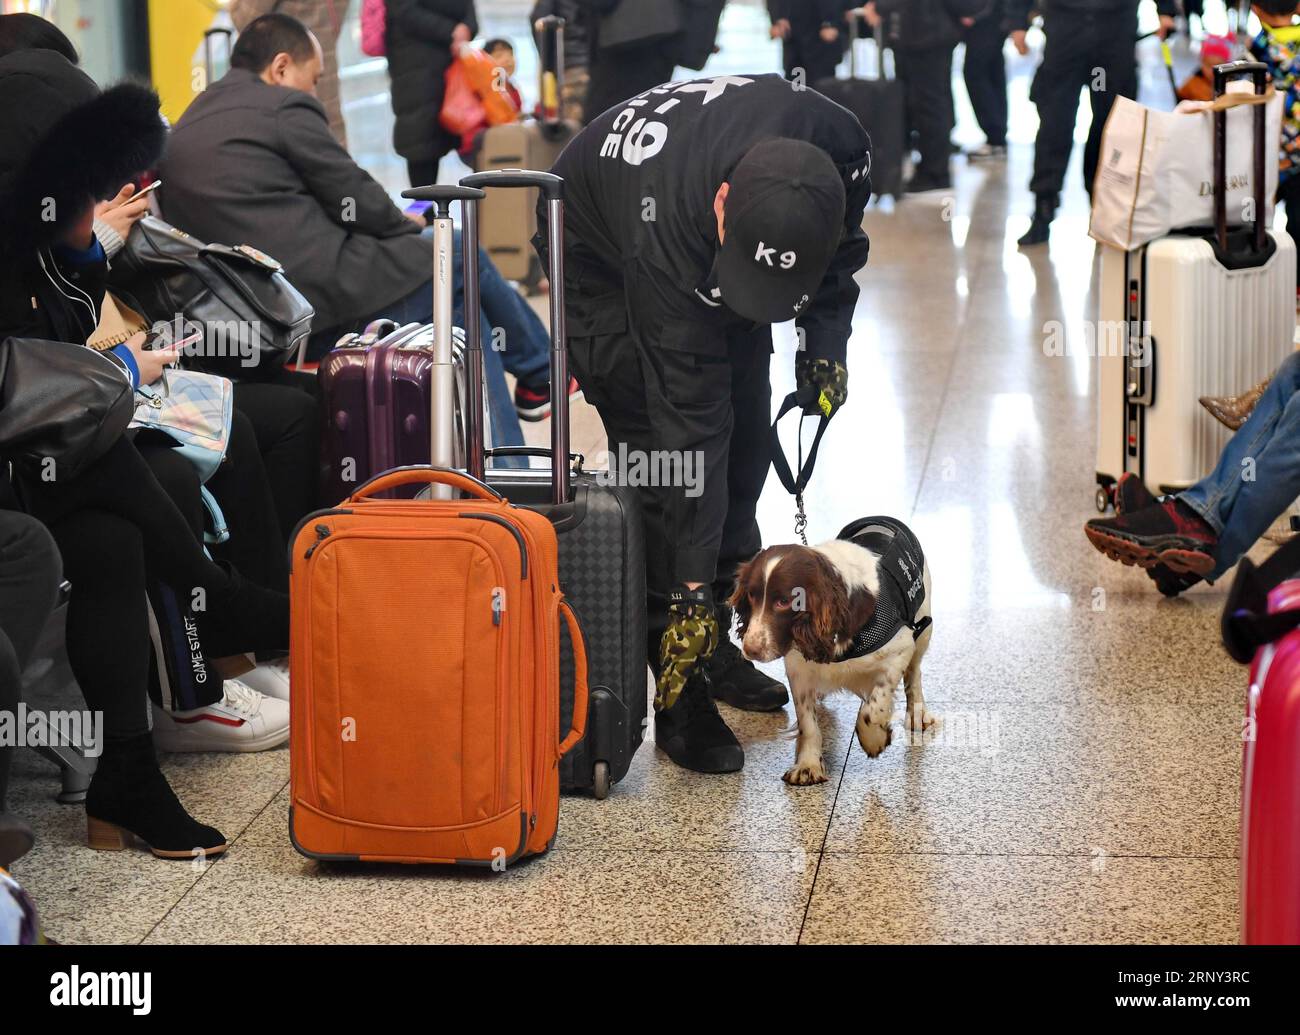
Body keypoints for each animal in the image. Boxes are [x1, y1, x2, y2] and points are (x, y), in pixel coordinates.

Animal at [733, 517, 935, 785]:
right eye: (751, 596)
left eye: (784, 601)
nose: (750, 649)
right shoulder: (799, 668)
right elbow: (808, 722)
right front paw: (807, 765)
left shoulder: (901, 646)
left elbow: (874, 706)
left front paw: (873, 739)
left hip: (923, 627)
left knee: (914, 674)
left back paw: (917, 714)